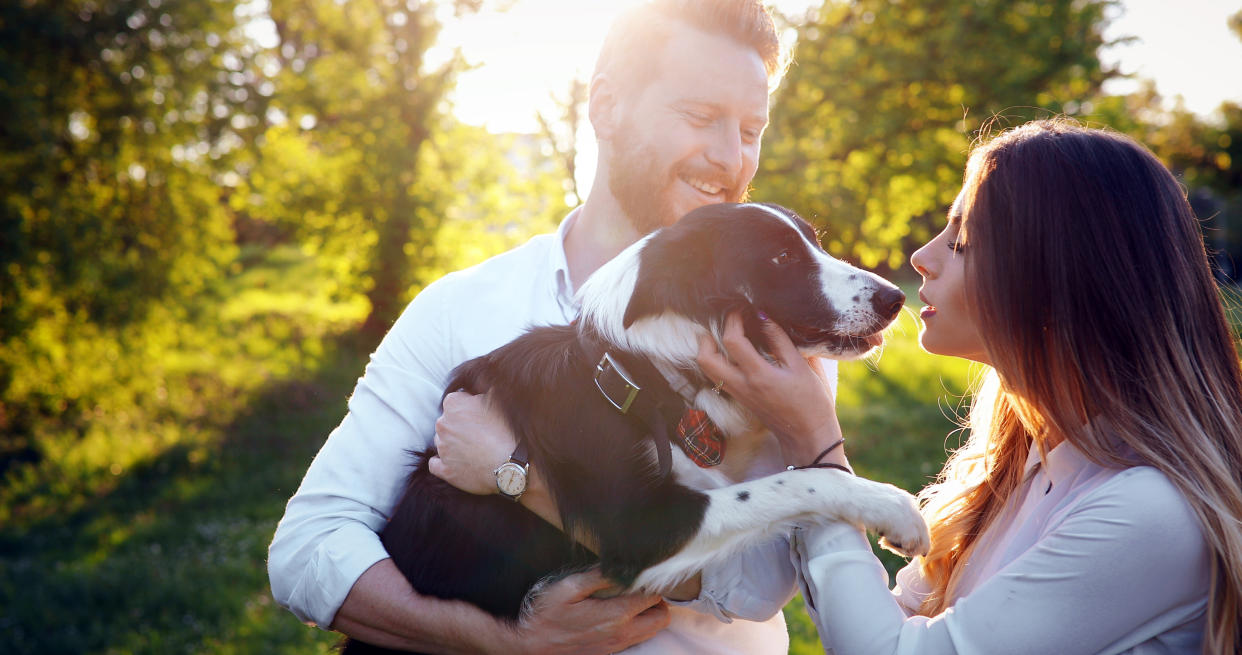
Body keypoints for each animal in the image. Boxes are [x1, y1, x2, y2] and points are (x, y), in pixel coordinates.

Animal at [345, 202, 929, 651]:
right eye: (781, 257)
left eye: (814, 243)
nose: (896, 297)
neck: (645, 372)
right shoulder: (637, 527)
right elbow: (799, 482)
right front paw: (896, 509)